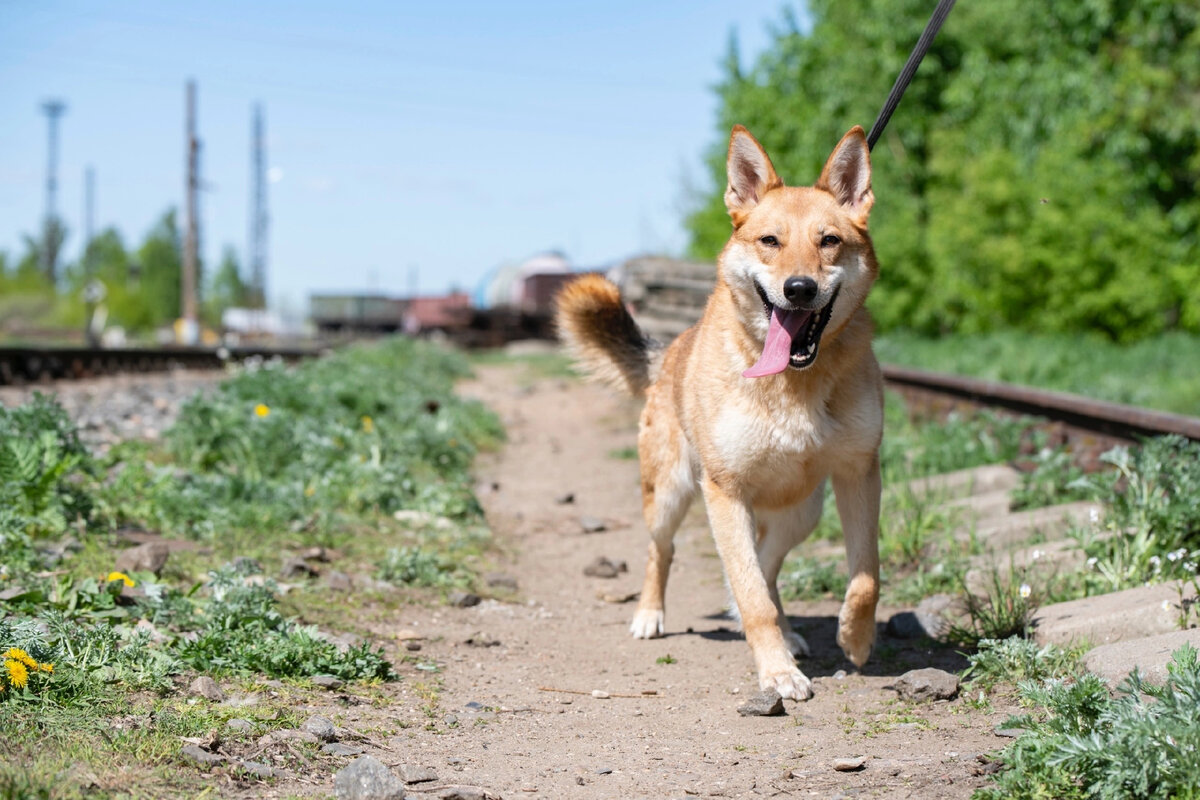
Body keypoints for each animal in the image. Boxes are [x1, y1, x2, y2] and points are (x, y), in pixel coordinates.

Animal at [556, 125, 888, 700]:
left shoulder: (858, 473)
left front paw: (855, 636)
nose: (799, 288)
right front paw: (777, 673)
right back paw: (650, 615)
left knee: (769, 567)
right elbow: (751, 596)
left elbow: (865, 576)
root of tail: (669, 352)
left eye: (829, 241)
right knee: (663, 553)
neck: (792, 382)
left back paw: (790, 632)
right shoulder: (725, 492)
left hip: (801, 513)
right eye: (769, 241)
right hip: (669, 495)